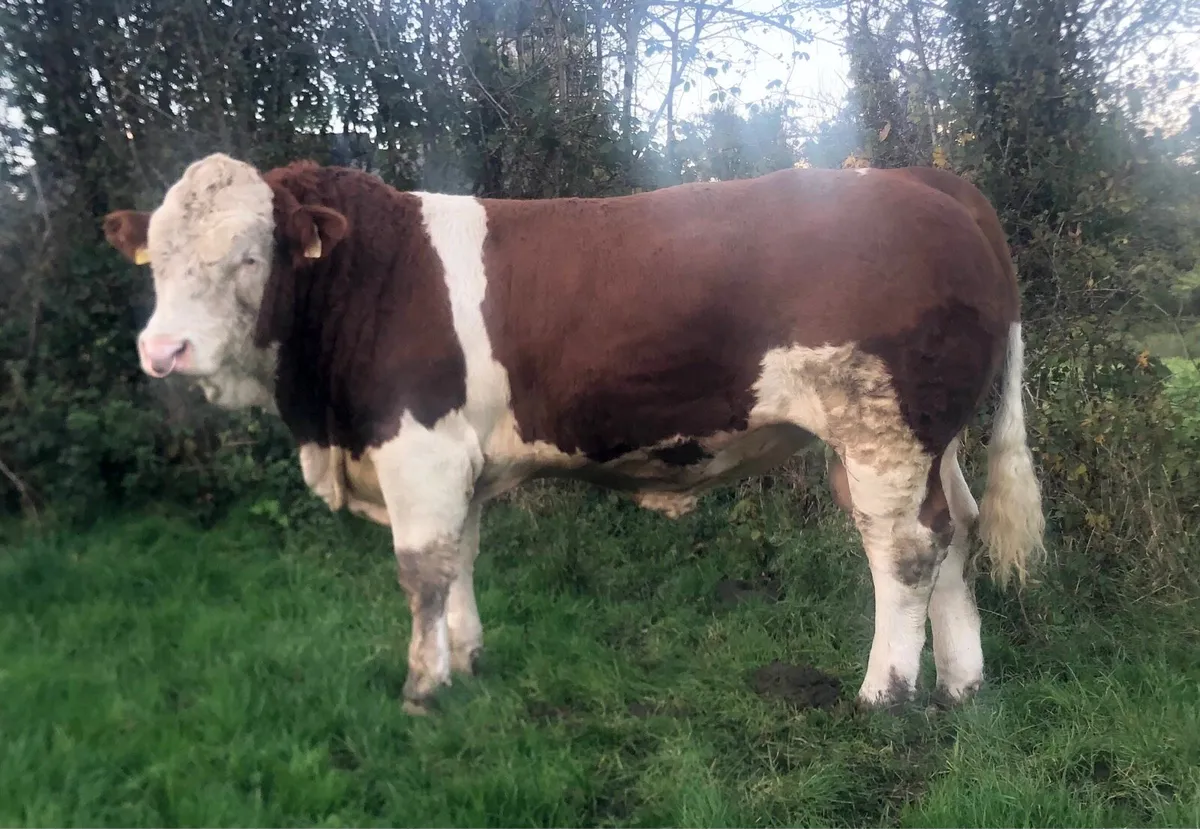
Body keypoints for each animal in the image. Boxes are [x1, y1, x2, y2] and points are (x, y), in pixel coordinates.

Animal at [102, 153, 1045, 715]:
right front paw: (468, 664)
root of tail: (927, 179)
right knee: (954, 531)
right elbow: (461, 558)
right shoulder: (456, 461)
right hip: (923, 438)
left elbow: (422, 571)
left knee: (905, 549)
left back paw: (885, 692)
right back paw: (963, 684)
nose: (162, 349)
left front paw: (420, 689)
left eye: (250, 254)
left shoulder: (419, 450)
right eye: (157, 255)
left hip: (880, 428)